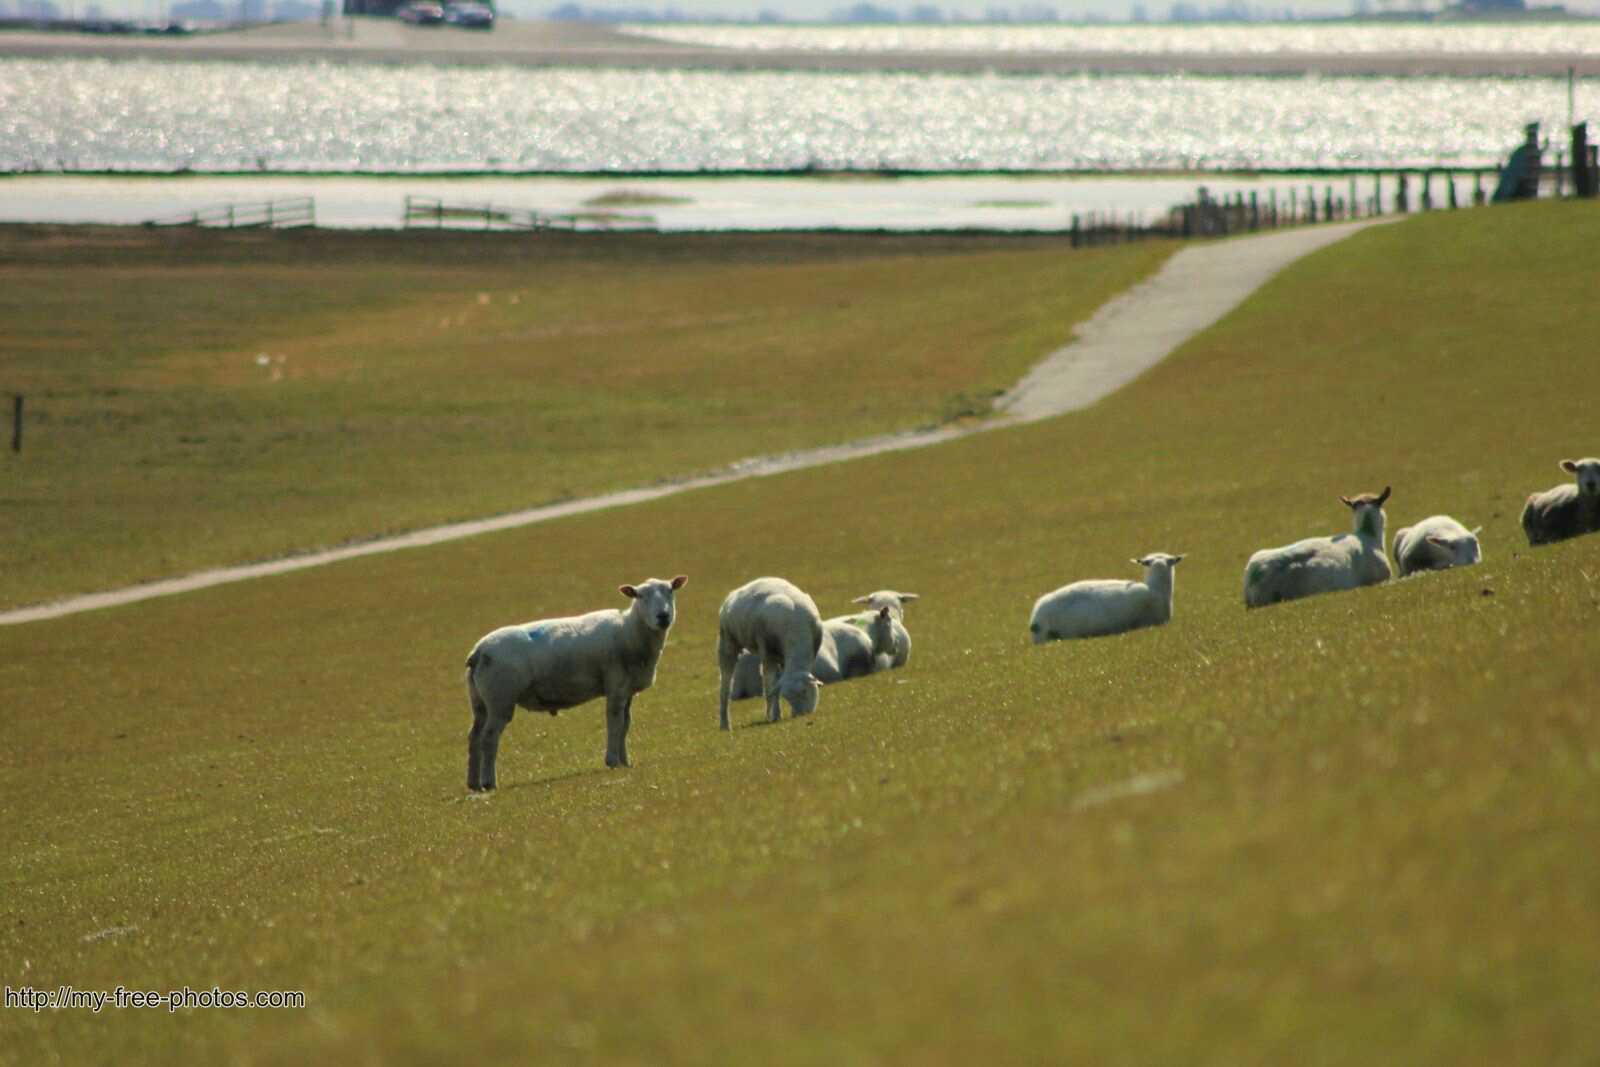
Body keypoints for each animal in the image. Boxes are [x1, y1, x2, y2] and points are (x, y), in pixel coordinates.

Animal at [463, 575, 686, 791]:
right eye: (640, 595)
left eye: (670, 590)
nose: (663, 616)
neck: (630, 631)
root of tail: (478, 652)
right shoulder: (616, 686)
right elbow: (614, 723)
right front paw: (613, 761)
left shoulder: (627, 690)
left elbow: (626, 724)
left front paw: (625, 762)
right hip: (500, 698)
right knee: (489, 738)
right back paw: (489, 782)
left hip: (480, 701)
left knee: (474, 737)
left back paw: (474, 784)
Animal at [717, 577, 825, 730]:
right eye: (788, 698)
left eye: (804, 691)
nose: (801, 715)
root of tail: (736, 592)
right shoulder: (767, 652)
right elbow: (769, 687)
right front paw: (772, 715)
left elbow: (775, 688)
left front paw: (776, 714)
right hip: (728, 641)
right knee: (725, 685)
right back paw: (725, 724)